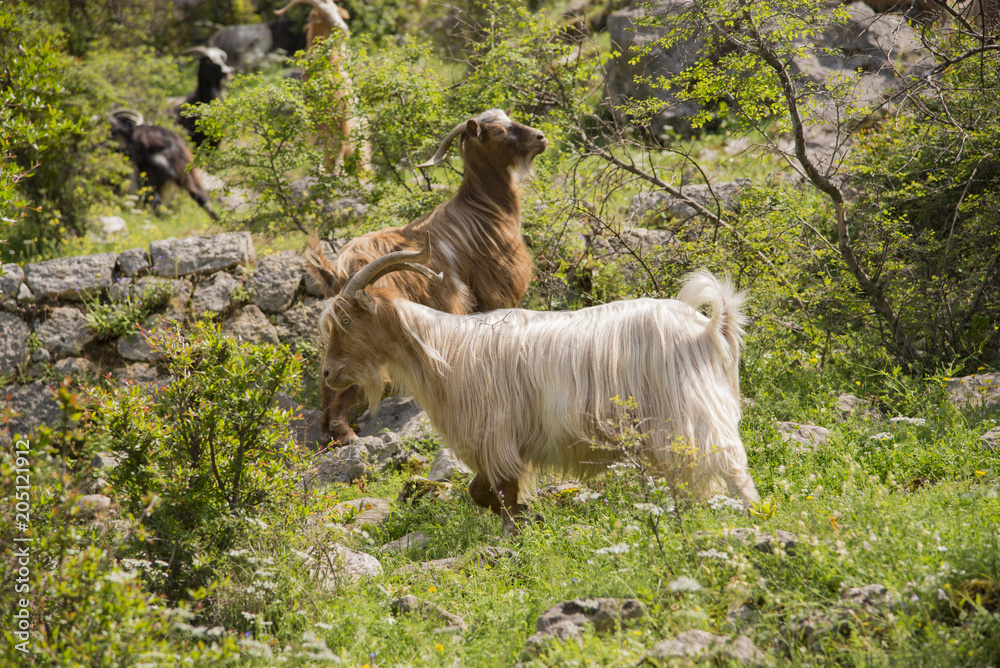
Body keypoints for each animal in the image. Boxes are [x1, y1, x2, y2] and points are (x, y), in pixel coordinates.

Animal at [306, 109, 547, 443]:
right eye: (498, 131)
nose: (540, 138)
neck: (484, 212)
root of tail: (334, 269)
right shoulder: (494, 291)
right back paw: (347, 434)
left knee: (326, 381)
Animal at [318, 240, 761, 534]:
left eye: (346, 321)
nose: (327, 373)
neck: (446, 349)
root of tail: (708, 329)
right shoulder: (502, 446)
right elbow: (481, 493)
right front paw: (531, 517)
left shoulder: (497, 439)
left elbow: (500, 495)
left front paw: (516, 531)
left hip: (689, 412)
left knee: (731, 466)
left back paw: (755, 518)